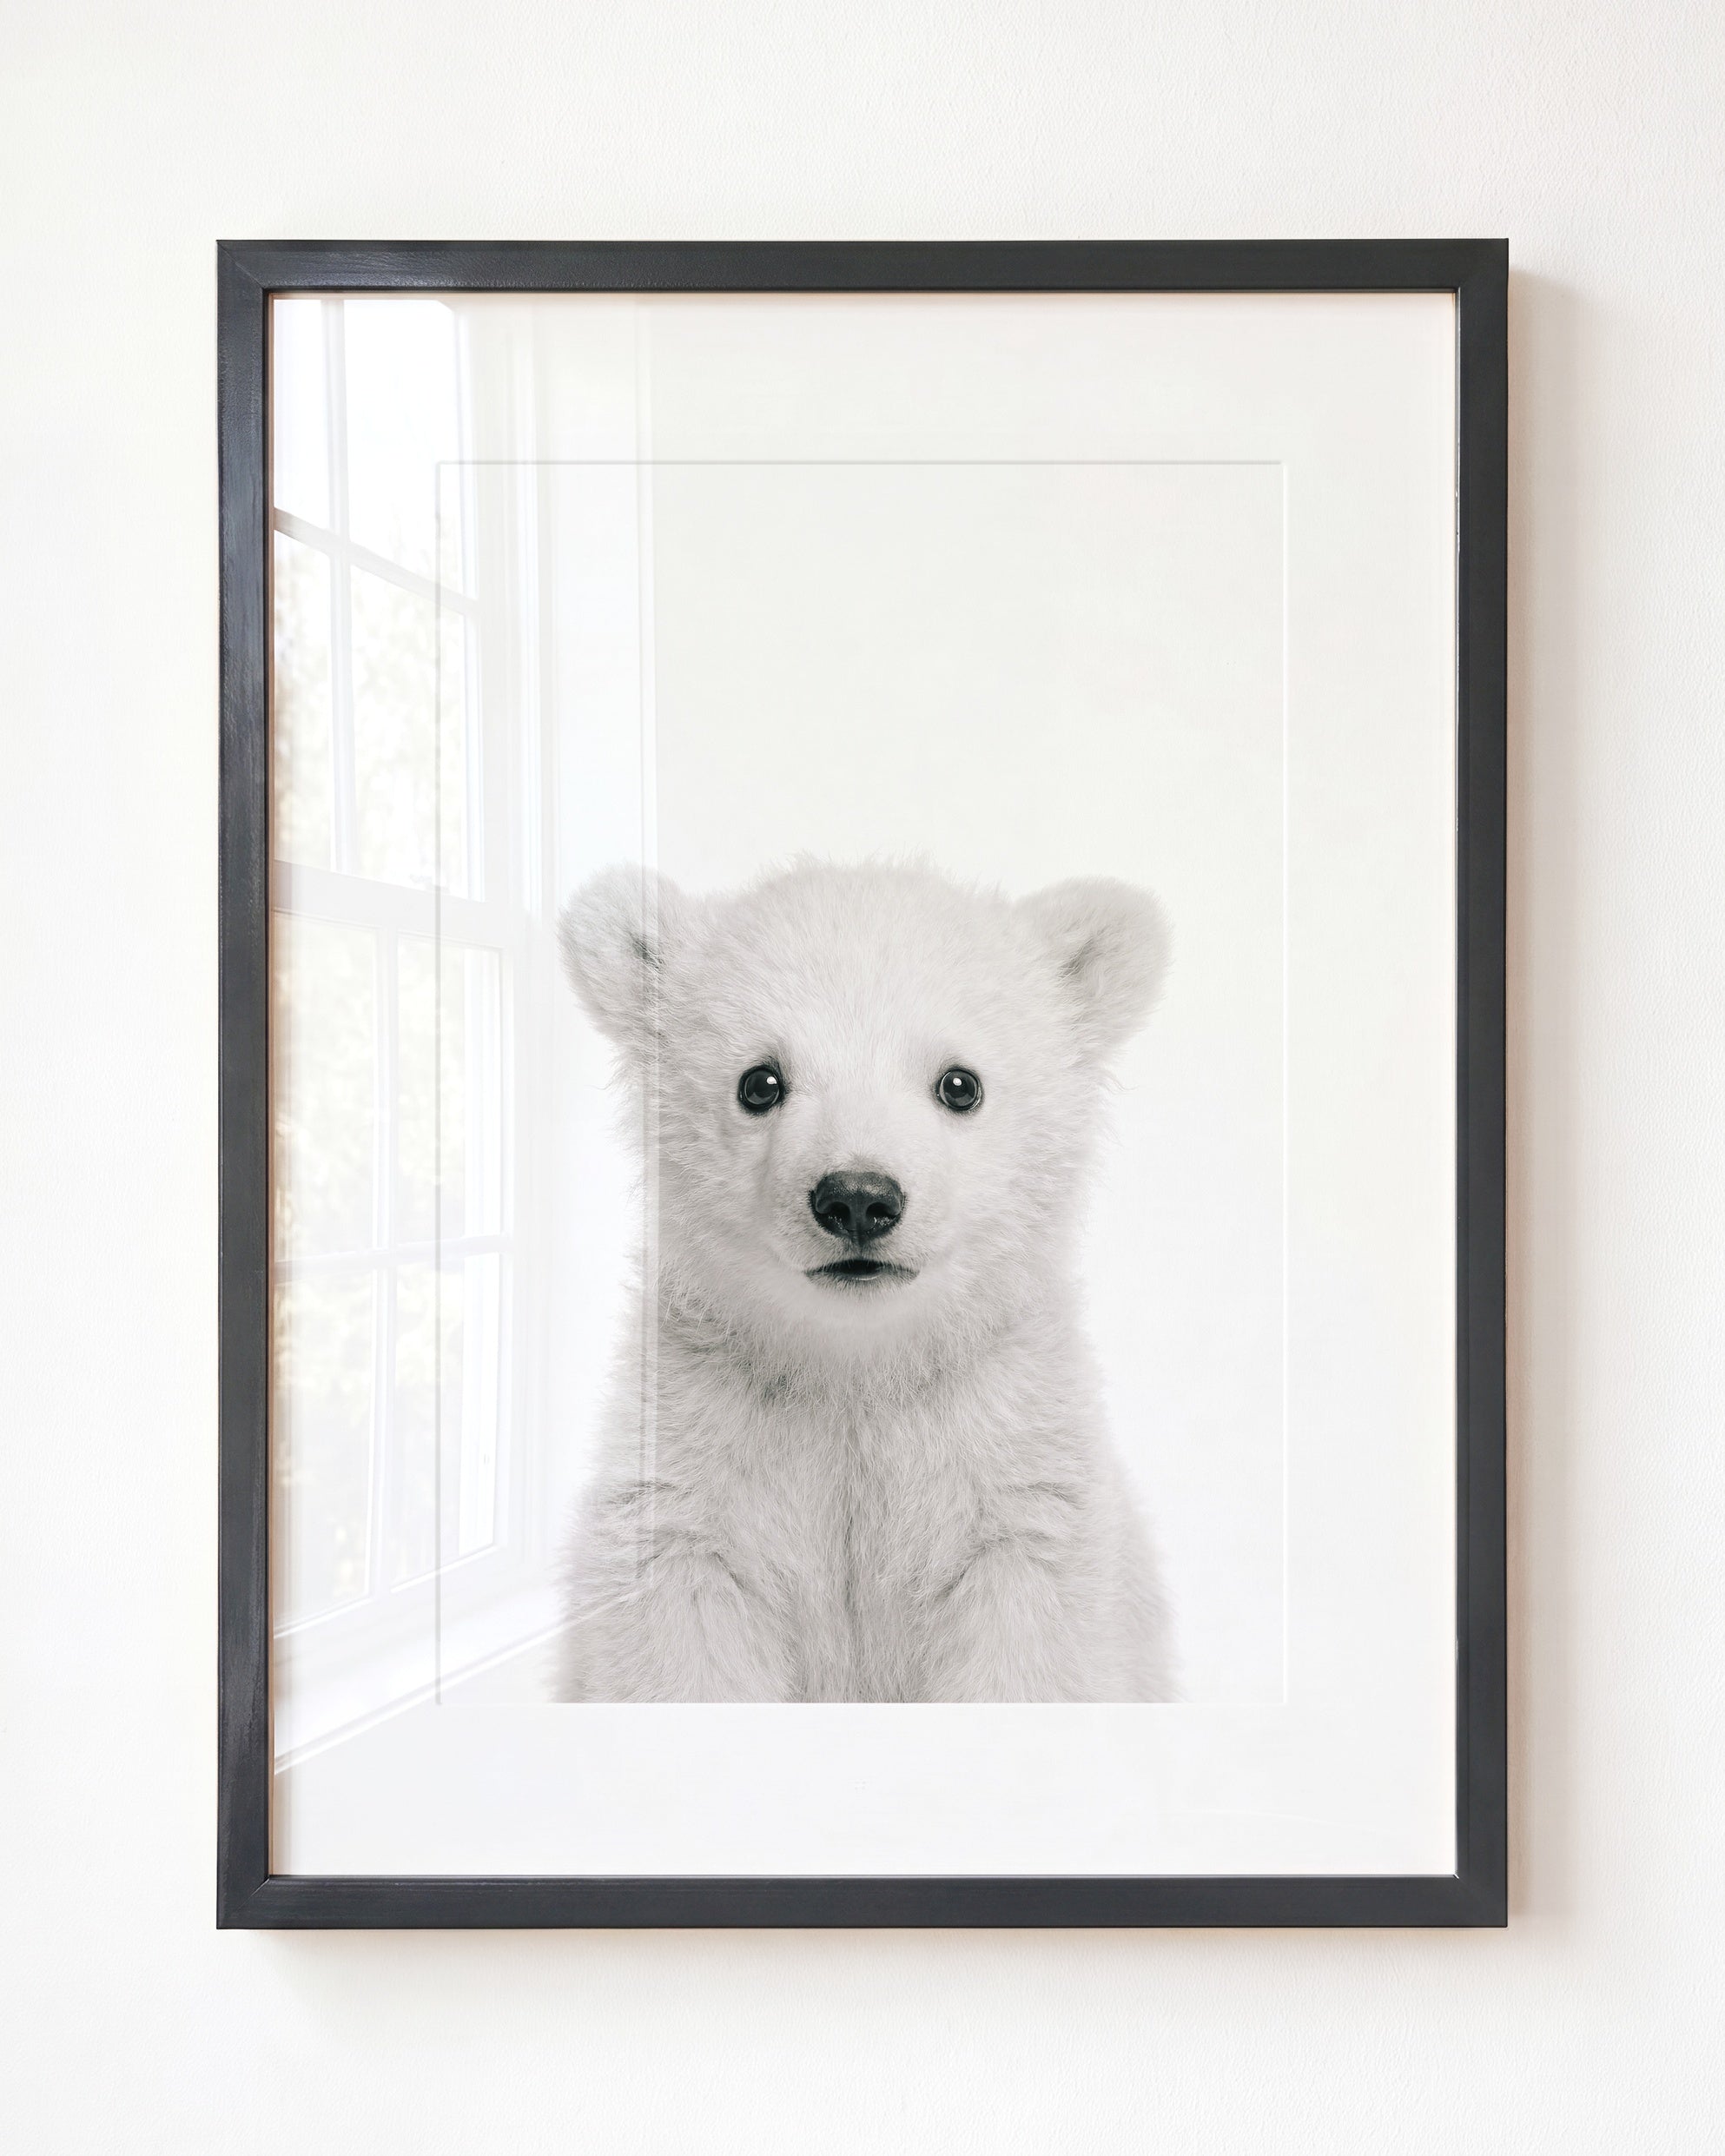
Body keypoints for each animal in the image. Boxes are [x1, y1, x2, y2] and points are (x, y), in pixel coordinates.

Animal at [552, 858, 1176, 1702]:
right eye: (759, 1082)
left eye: (960, 1084)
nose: (856, 1198)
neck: (857, 1370)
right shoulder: (693, 1471)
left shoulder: (1015, 1479)